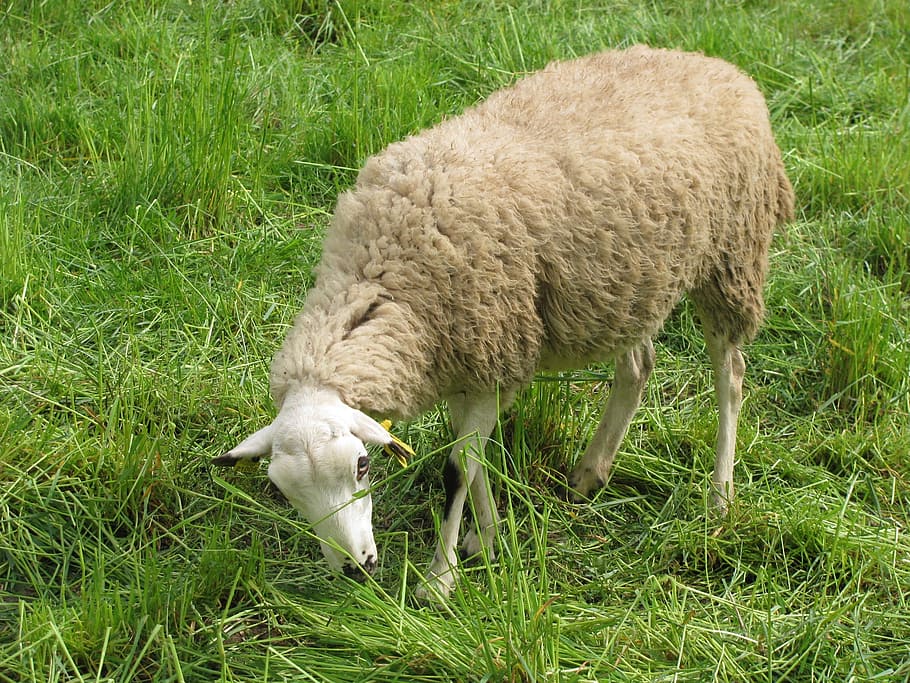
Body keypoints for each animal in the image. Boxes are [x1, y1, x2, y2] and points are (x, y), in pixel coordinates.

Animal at [214, 45, 795, 599]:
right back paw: (590, 473)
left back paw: (719, 497)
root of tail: (719, 67)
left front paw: (439, 580)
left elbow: (456, 468)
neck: (382, 272)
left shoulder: (493, 351)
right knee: (638, 366)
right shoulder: (461, 363)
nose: (357, 570)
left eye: (362, 465)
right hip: (627, 285)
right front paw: (486, 539)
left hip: (731, 256)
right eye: (282, 491)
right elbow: (472, 458)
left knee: (730, 375)